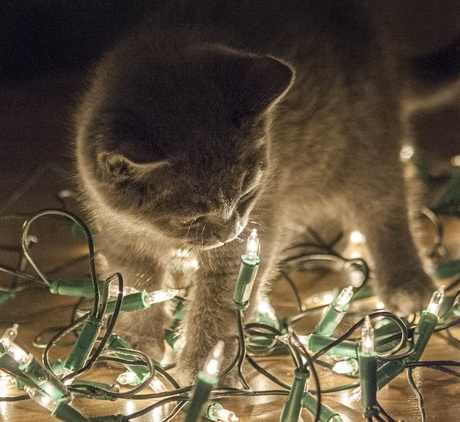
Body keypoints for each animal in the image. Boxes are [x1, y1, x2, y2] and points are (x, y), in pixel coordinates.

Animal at [74, 0, 434, 384]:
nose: (231, 229)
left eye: (247, 194)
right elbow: (135, 286)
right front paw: (135, 344)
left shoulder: (253, 232)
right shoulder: (119, 238)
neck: (152, 231)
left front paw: (203, 365)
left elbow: (220, 302)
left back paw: (407, 284)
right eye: (191, 217)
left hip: (363, 147)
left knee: (387, 207)